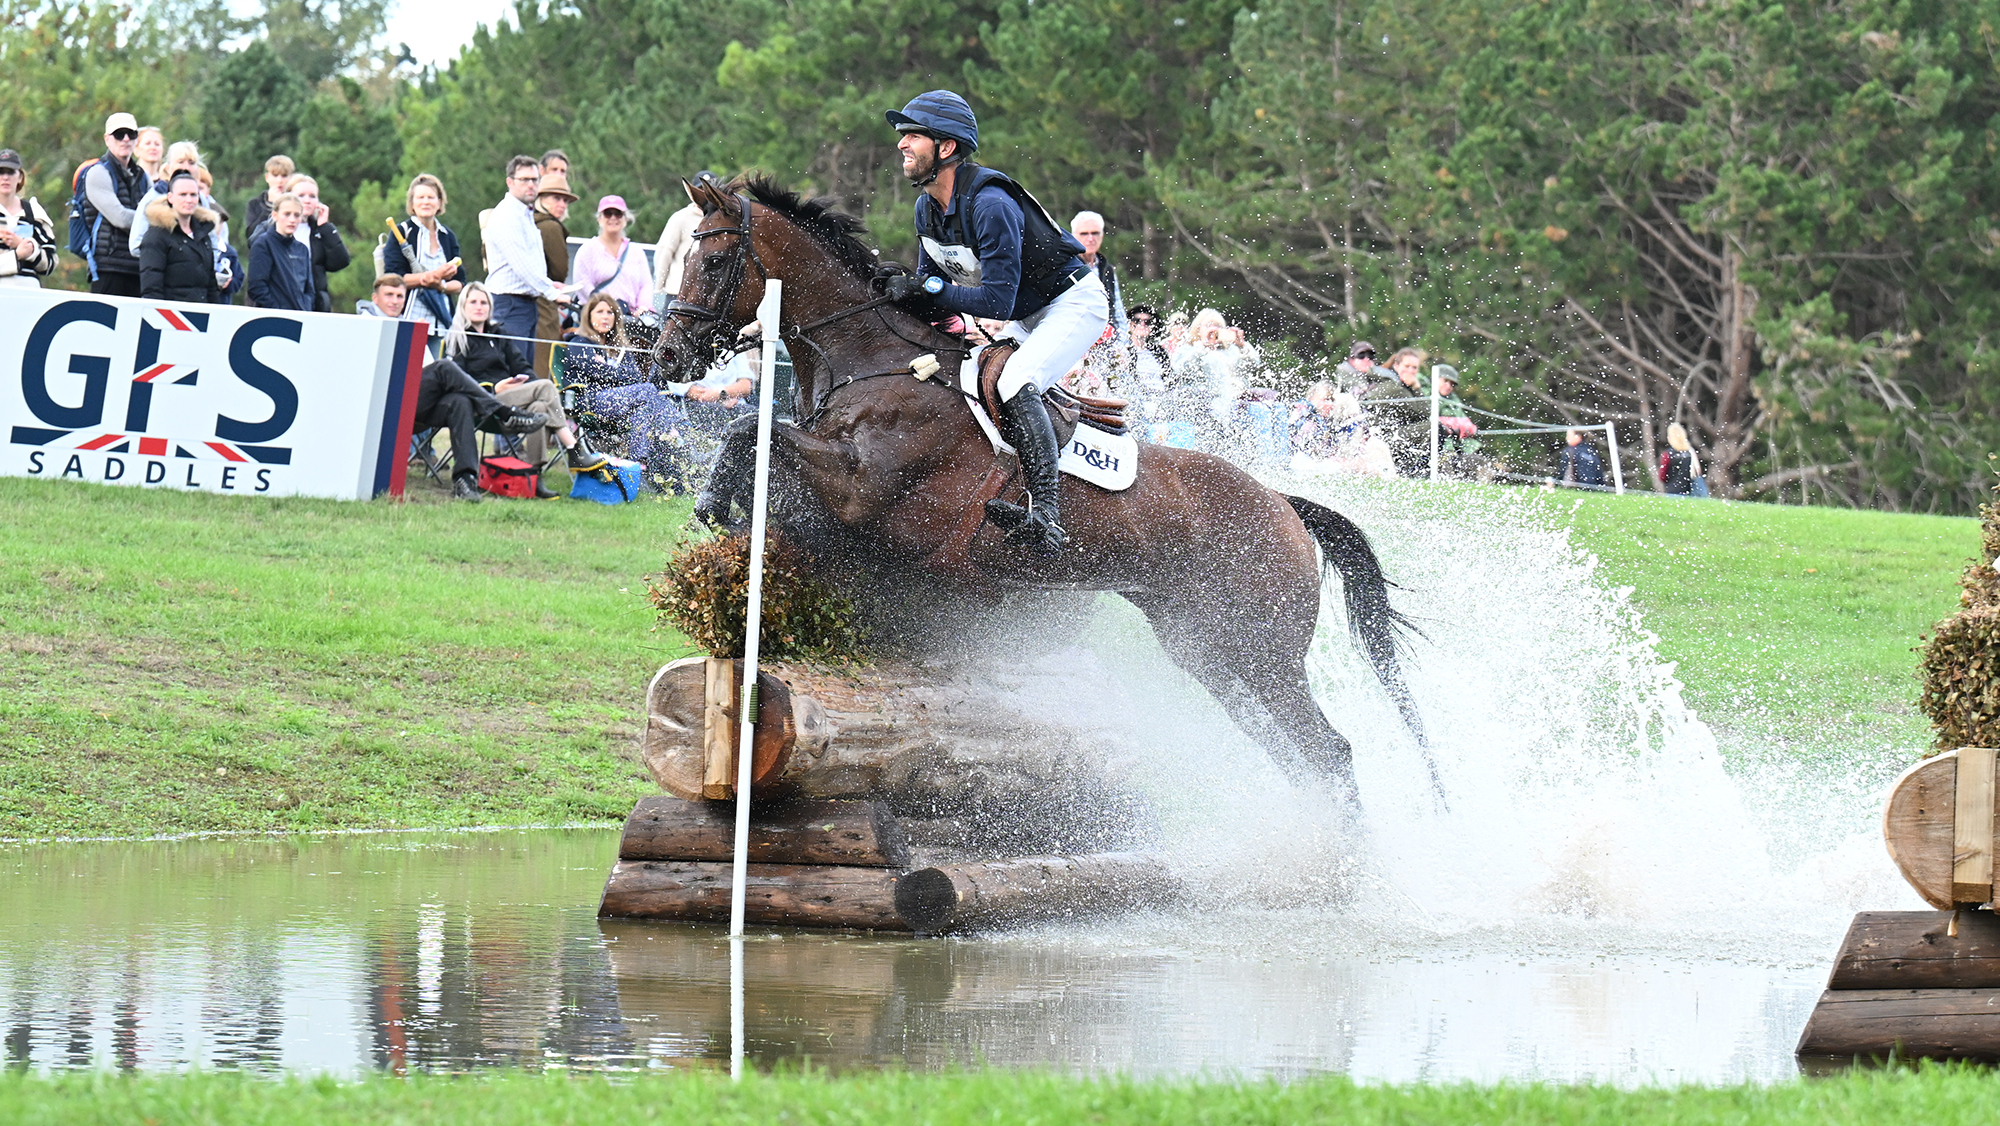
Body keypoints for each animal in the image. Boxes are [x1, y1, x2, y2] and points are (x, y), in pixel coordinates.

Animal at [654, 175, 1436, 812]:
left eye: (714, 261)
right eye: (681, 255)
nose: (664, 356)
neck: (872, 361)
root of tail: (1283, 505)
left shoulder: (863, 486)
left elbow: (752, 433)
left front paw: (715, 508)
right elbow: (756, 441)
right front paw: (728, 530)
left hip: (1263, 654)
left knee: (1329, 752)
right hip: (1210, 651)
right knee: (1297, 755)